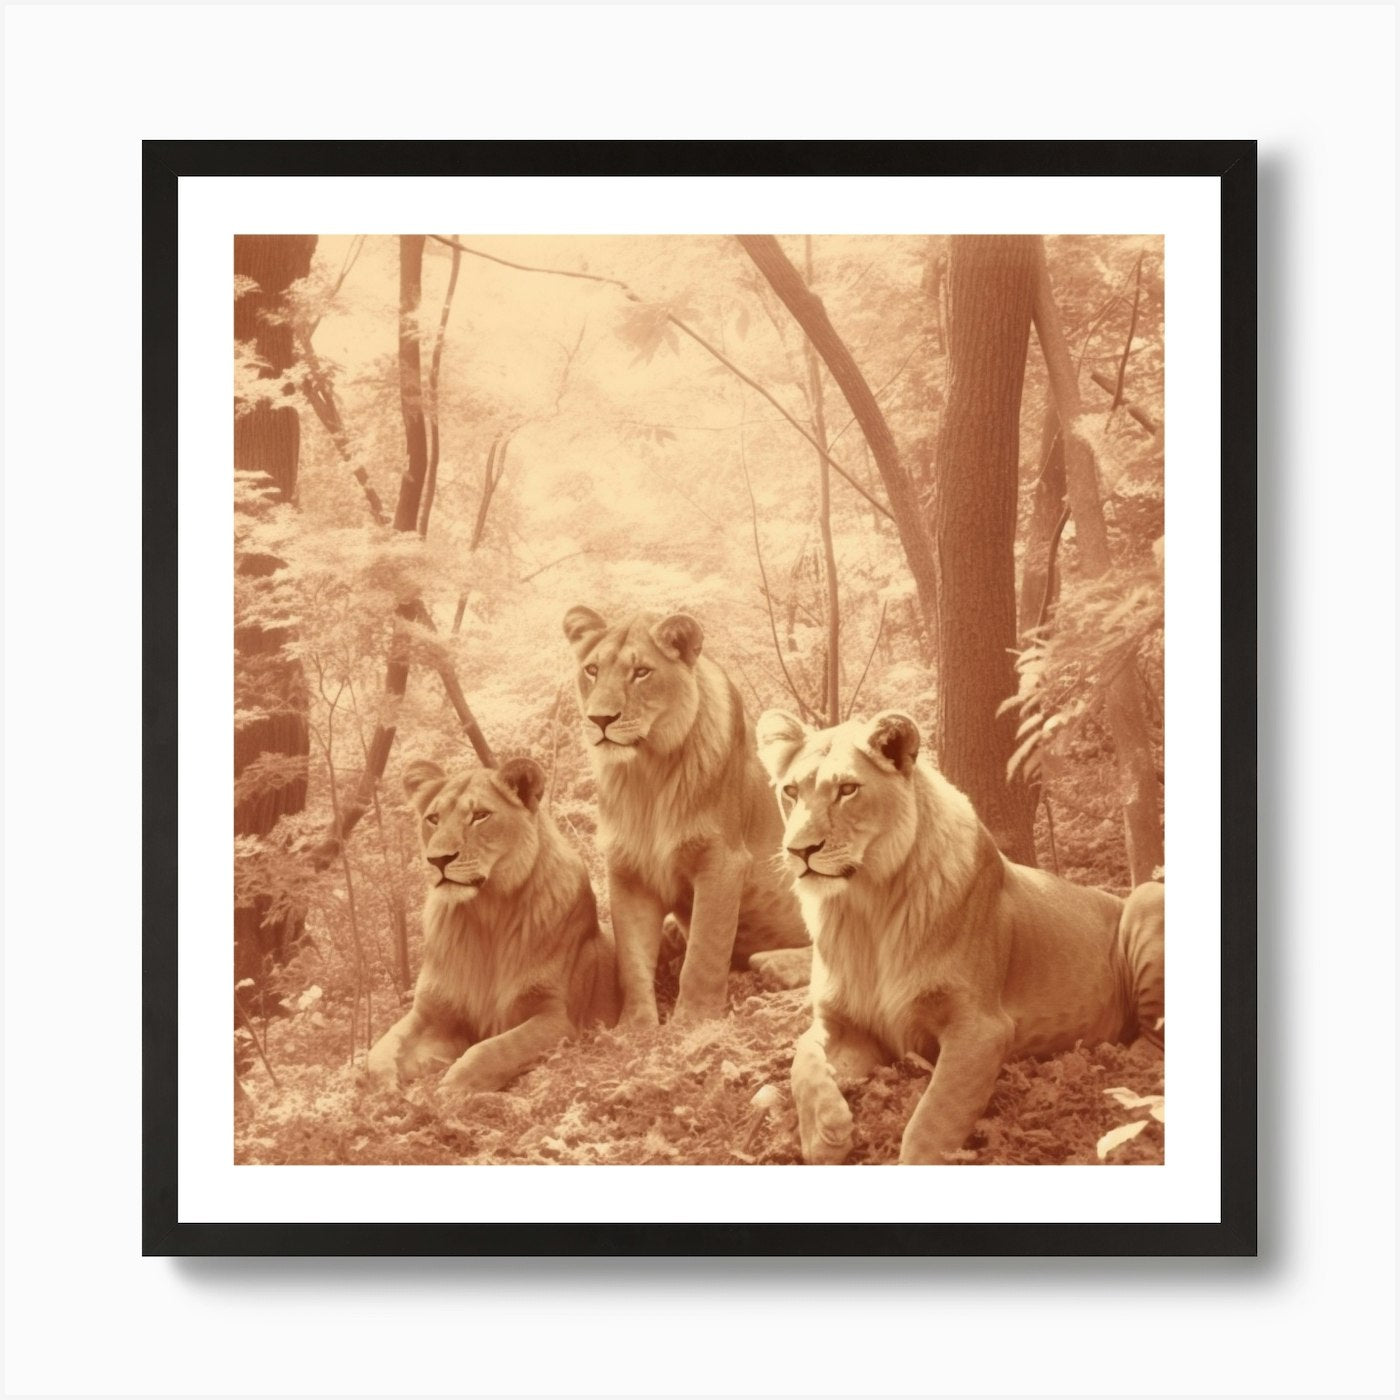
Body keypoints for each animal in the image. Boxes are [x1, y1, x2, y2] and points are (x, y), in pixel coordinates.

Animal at [366, 755, 618, 1096]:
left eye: (480, 816)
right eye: (433, 818)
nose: (437, 860)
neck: (484, 915)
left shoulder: (559, 1016)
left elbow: (493, 1050)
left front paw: (452, 1088)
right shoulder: (430, 1014)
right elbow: (378, 1051)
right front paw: (380, 1089)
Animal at [563, 606, 809, 1025]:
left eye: (641, 672)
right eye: (592, 670)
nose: (599, 719)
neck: (645, 774)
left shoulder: (722, 860)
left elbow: (705, 952)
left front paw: (692, 1019)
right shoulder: (628, 869)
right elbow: (631, 958)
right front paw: (636, 1026)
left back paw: (776, 965)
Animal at [756, 709, 1165, 1165]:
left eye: (847, 790)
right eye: (791, 791)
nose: (798, 851)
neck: (865, 910)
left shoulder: (981, 1027)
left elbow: (933, 1119)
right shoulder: (849, 1025)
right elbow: (802, 1056)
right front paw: (825, 1133)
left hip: (1148, 897)